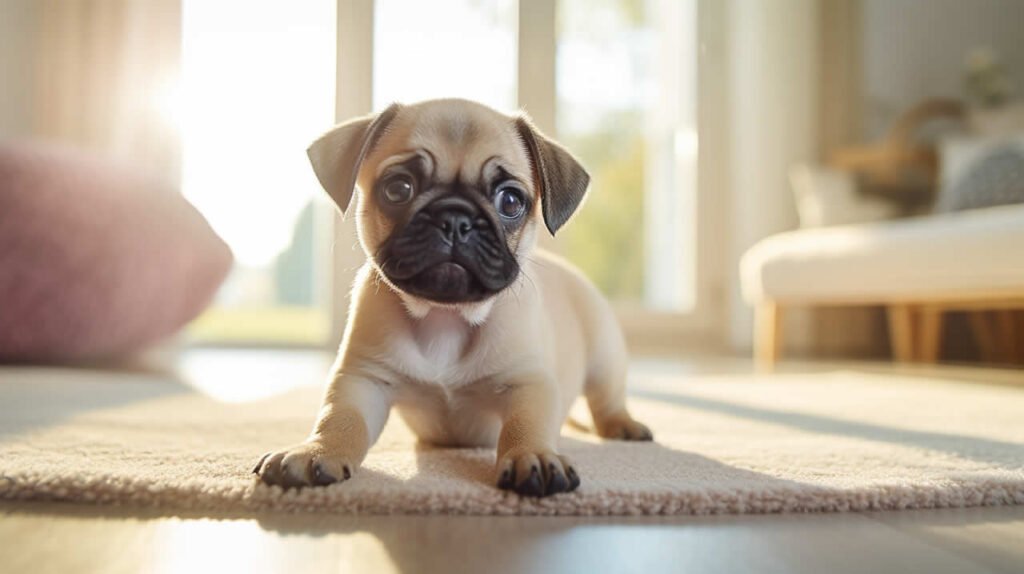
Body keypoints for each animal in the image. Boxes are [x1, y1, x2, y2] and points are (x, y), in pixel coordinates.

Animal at [256, 98, 655, 497]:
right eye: (398, 188)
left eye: (510, 201)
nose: (454, 219)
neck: (444, 315)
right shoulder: (363, 379)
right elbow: (340, 419)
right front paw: (316, 451)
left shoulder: (528, 382)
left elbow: (526, 423)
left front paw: (535, 456)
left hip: (605, 358)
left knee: (607, 401)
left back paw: (624, 426)